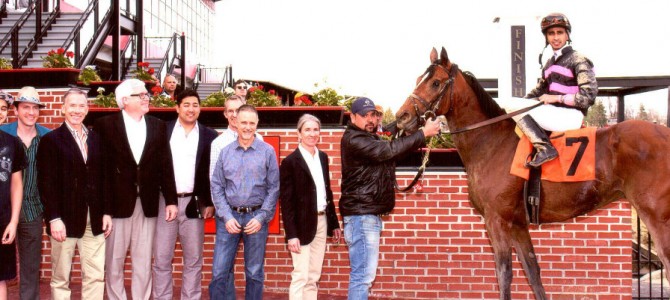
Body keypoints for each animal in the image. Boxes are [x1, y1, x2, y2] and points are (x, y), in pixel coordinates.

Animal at [394, 47, 670, 300]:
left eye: (435, 82)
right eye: (418, 79)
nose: (401, 116)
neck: (492, 142)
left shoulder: (496, 220)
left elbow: (504, 274)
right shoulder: (517, 223)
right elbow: (532, 271)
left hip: (657, 216)